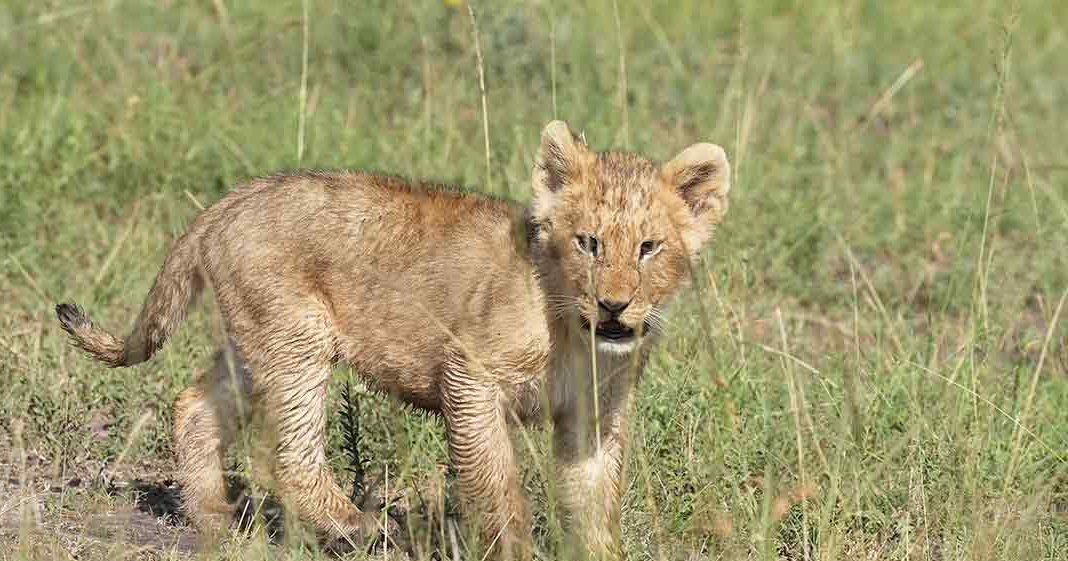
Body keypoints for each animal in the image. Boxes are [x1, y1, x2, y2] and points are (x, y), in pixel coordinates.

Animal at [55, 120, 731, 559]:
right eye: (589, 243)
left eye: (649, 248)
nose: (615, 304)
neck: (575, 328)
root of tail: (229, 201)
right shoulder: (470, 375)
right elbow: (496, 484)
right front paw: (511, 546)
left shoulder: (593, 412)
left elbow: (593, 501)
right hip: (300, 337)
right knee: (291, 453)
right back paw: (361, 529)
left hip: (256, 340)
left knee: (195, 406)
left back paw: (215, 523)